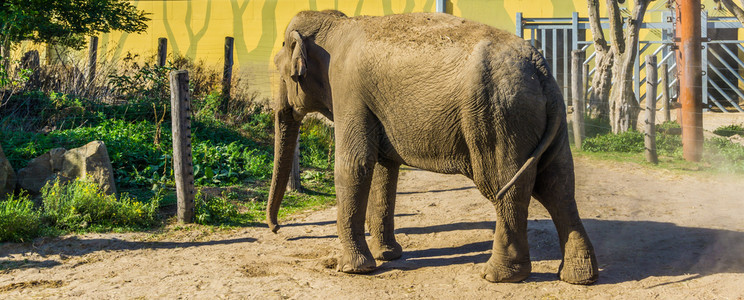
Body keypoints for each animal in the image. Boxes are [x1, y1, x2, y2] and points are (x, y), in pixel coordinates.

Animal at [264, 10, 596, 284]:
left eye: (282, 73)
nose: (277, 229)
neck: (337, 23)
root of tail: (541, 69)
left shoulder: (348, 90)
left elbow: (355, 165)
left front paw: (354, 269)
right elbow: (385, 168)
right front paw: (389, 255)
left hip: (498, 116)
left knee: (506, 187)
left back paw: (498, 276)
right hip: (541, 120)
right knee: (557, 185)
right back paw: (578, 277)